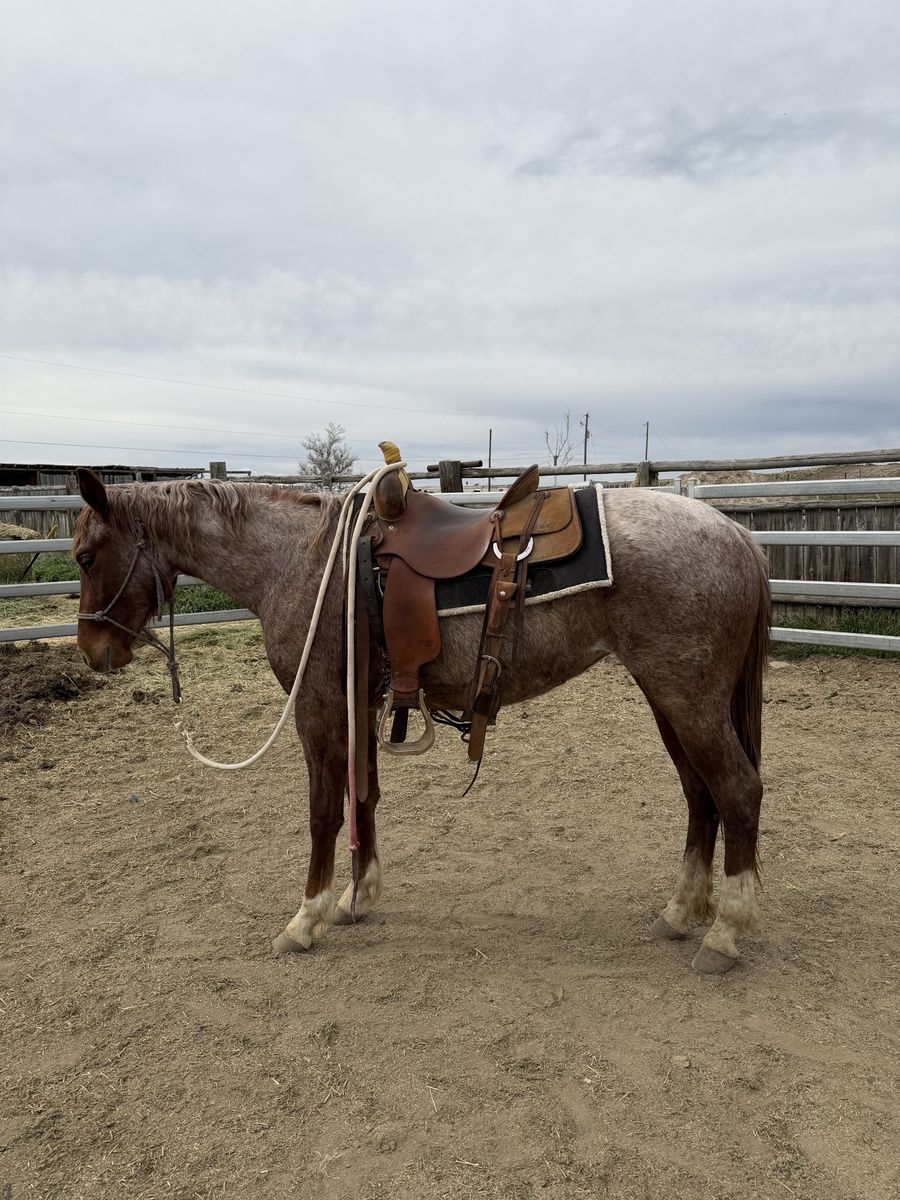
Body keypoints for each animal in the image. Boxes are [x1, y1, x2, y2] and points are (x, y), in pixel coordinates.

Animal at [72, 466, 770, 974]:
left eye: (83, 556)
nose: (93, 651)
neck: (300, 561)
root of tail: (736, 536)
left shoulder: (318, 707)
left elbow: (324, 811)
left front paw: (306, 918)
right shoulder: (360, 701)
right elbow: (364, 797)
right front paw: (358, 897)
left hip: (689, 698)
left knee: (737, 791)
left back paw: (725, 933)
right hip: (668, 698)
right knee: (700, 794)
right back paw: (681, 912)